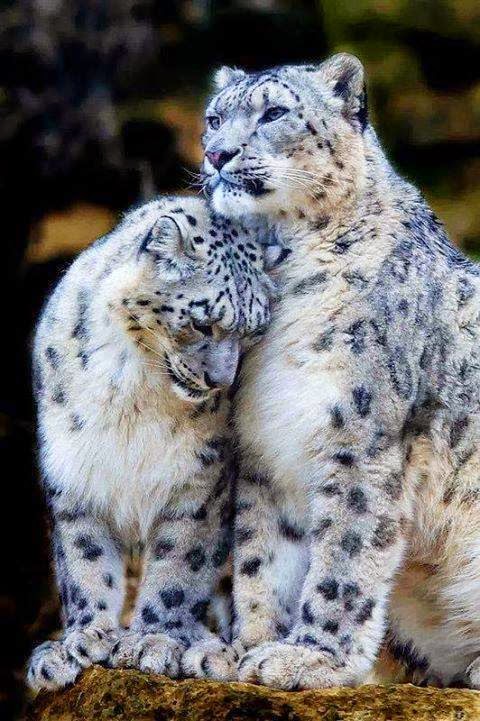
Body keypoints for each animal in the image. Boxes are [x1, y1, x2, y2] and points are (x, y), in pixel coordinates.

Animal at [26, 195, 275, 692]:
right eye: (202, 323)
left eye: (254, 332)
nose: (222, 381)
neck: (132, 389)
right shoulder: (72, 473)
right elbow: (84, 561)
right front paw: (82, 640)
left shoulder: (200, 482)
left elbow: (178, 564)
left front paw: (155, 641)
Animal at [201, 52, 480, 690]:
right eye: (214, 118)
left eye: (274, 112)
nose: (217, 154)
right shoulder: (267, 448)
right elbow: (262, 557)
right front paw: (251, 647)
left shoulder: (362, 439)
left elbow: (344, 558)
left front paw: (311, 658)